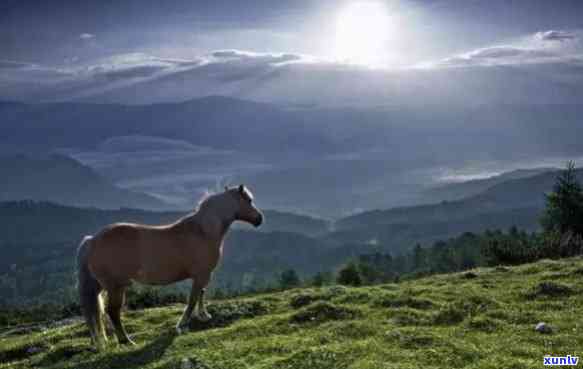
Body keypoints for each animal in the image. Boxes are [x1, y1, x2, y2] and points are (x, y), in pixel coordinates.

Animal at [76, 185, 264, 346]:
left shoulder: (203, 275)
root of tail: (92, 240)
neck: (202, 231)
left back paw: (99, 341)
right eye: (248, 200)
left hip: (100, 287)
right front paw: (181, 325)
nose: (259, 219)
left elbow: (201, 294)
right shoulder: (202, 274)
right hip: (116, 287)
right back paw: (125, 340)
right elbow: (192, 299)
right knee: (112, 311)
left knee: (95, 312)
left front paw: (203, 315)